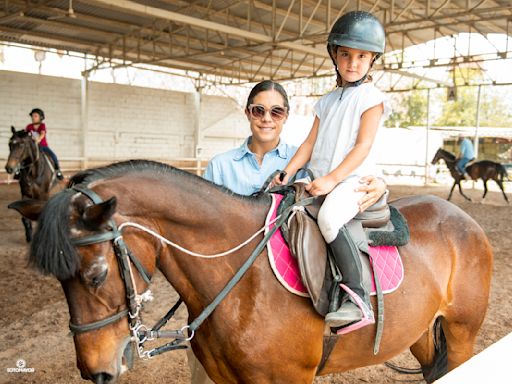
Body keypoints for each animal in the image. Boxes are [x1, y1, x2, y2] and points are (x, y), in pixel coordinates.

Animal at [11, 160, 492, 384]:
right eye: (58, 281)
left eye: (94, 276)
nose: (97, 372)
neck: (244, 284)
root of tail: (463, 220)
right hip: (422, 335)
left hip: (461, 335)